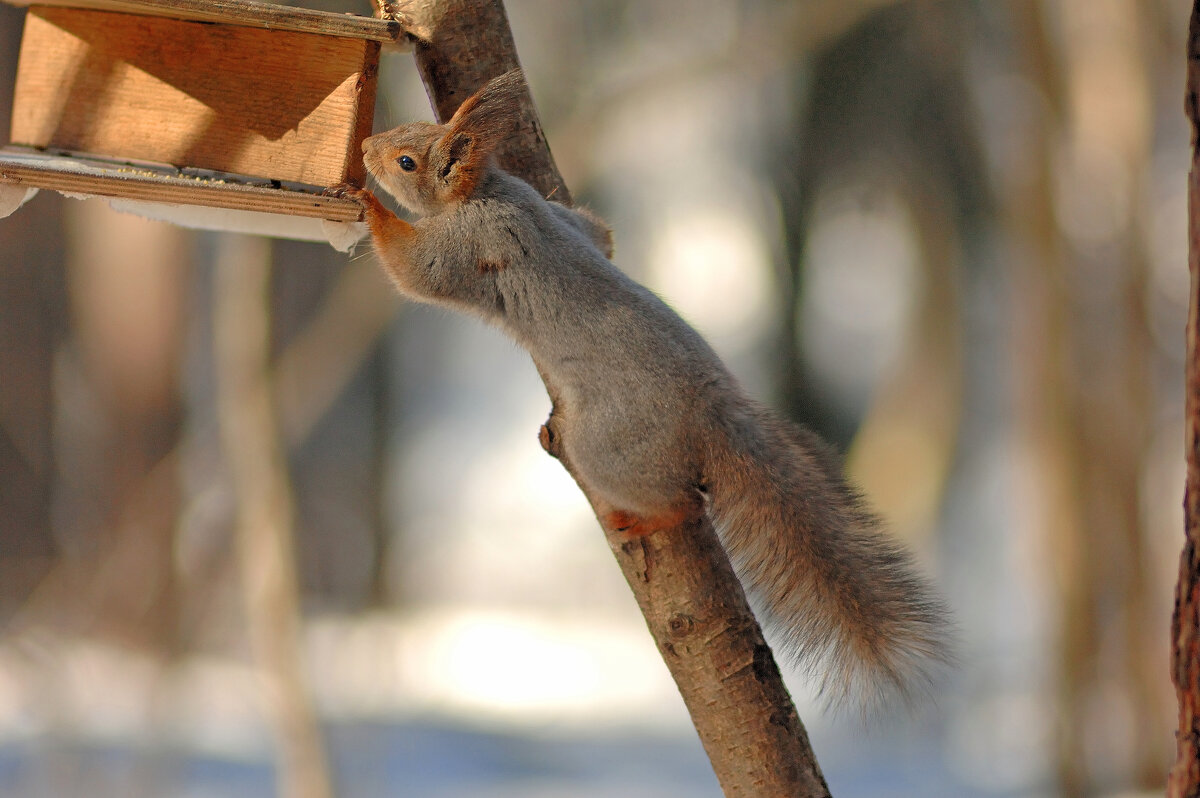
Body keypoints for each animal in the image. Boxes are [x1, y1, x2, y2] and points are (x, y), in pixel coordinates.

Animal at [338, 68, 945, 705]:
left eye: (406, 161)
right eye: (406, 131)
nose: (364, 148)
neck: (486, 192)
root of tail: (710, 410)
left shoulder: (465, 246)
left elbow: (413, 271)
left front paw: (367, 205)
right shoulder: (559, 219)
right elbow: (599, 233)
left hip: (605, 447)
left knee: (684, 502)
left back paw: (642, 519)